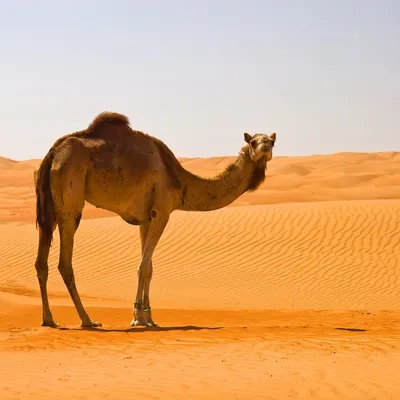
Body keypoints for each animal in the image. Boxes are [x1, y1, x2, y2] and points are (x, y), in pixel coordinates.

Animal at [34, 112, 276, 328]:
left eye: (272, 141)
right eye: (253, 141)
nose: (265, 147)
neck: (179, 180)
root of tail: (52, 154)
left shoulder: (145, 219)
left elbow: (148, 266)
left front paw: (147, 317)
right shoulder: (162, 211)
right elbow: (144, 267)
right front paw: (138, 318)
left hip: (49, 206)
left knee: (41, 261)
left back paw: (49, 319)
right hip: (70, 202)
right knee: (65, 262)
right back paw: (87, 320)